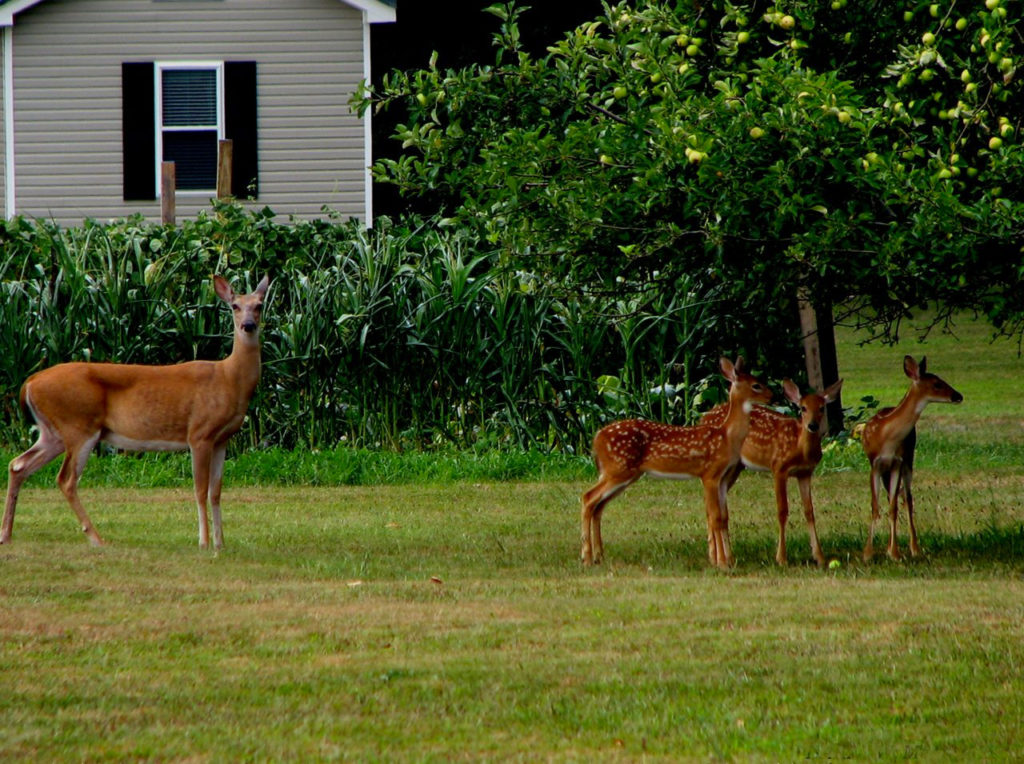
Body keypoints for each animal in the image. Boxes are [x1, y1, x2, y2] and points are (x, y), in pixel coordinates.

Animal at [1, 274, 272, 548]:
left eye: (259, 305)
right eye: (235, 306)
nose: (248, 325)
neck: (229, 379)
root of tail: (30, 382)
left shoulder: (221, 439)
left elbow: (216, 492)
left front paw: (220, 544)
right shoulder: (199, 433)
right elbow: (200, 489)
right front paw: (204, 543)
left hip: (53, 433)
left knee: (18, 465)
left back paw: (6, 534)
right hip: (79, 426)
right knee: (66, 480)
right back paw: (96, 538)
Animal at [581, 356, 770, 565]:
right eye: (756, 385)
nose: (771, 396)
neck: (727, 437)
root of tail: (597, 438)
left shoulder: (722, 477)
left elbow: (723, 517)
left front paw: (728, 560)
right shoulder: (709, 474)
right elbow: (715, 517)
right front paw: (721, 562)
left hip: (622, 474)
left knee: (598, 505)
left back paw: (598, 556)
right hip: (618, 469)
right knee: (588, 498)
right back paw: (587, 557)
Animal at [700, 376, 843, 561]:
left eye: (821, 408)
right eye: (803, 408)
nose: (812, 425)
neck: (799, 447)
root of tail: (703, 418)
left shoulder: (805, 473)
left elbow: (809, 511)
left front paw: (819, 556)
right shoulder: (779, 467)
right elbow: (782, 511)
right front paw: (781, 557)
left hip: (735, 467)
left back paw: (718, 555)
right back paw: (717, 556)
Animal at [864, 356, 958, 561]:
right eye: (937, 383)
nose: (958, 396)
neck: (886, 437)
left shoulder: (898, 463)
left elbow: (893, 508)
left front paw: (894, 553)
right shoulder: (874, 464)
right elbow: (875, 507)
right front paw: (868, 553)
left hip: (909, 462)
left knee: (907, 499)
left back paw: (914, 548)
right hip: (887, 471)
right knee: (894, 498)